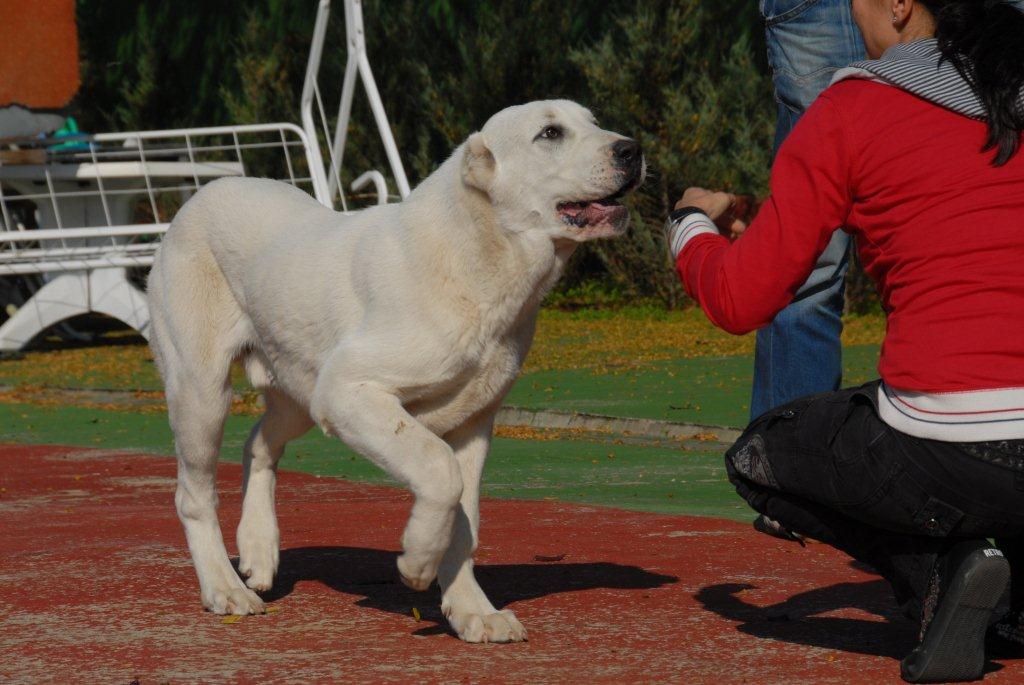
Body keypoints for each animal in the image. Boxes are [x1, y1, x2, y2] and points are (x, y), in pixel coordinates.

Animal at [147, 99, 644, 643]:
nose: (633, 150)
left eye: (593, 122)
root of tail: (205, 193)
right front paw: (417, 563)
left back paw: (258, 550)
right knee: (193, 495)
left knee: (258, 442)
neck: (481, 257)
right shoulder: (350, 392)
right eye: (550, 133)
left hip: (298, 393)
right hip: (205, 392)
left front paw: (472, 610)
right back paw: (224, 588)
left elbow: (465, 523)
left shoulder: (473, 424)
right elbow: (440, 473)